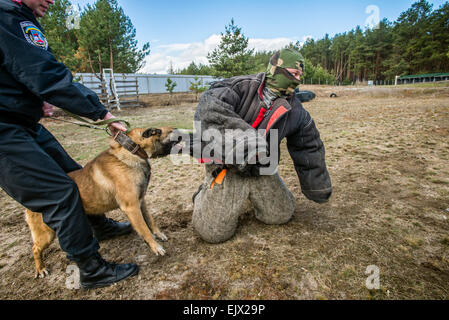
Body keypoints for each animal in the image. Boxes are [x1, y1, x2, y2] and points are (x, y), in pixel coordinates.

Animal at [24, 126, 181, 278]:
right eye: (173, 131)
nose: (184, 134)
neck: (133, 150)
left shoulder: (141, 201)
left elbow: (150, 220)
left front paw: (158, 234)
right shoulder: (132, 207)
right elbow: (144, 229)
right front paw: (155, 247)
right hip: (46, 234)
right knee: (35, 248)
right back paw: (40, 269)